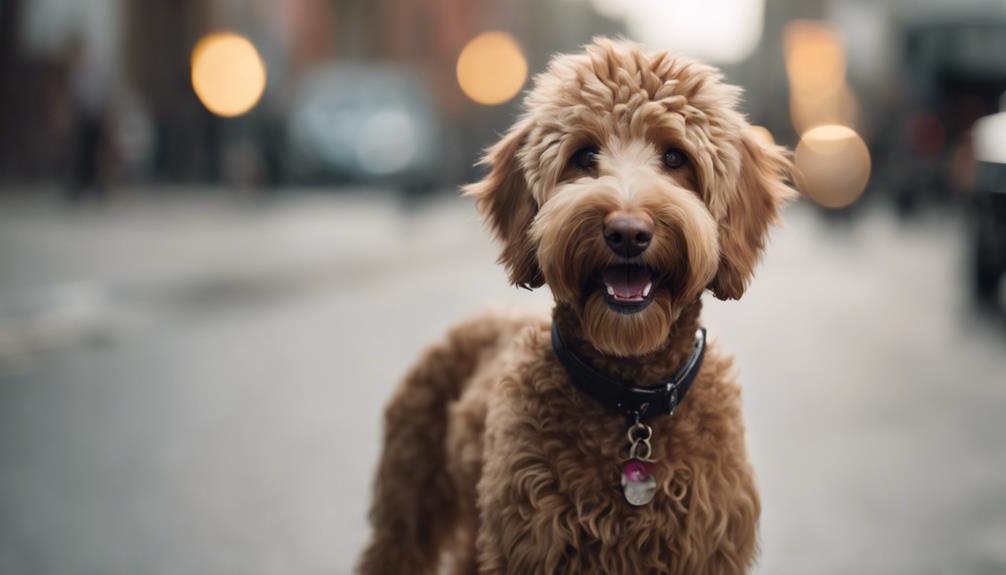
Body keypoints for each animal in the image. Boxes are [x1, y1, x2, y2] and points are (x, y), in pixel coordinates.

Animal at [360, 38, 792, 570]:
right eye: (584, 154)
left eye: (676, 157)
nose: (627, 232)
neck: (632, 409)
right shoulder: (527, 546)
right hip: (408, 500)